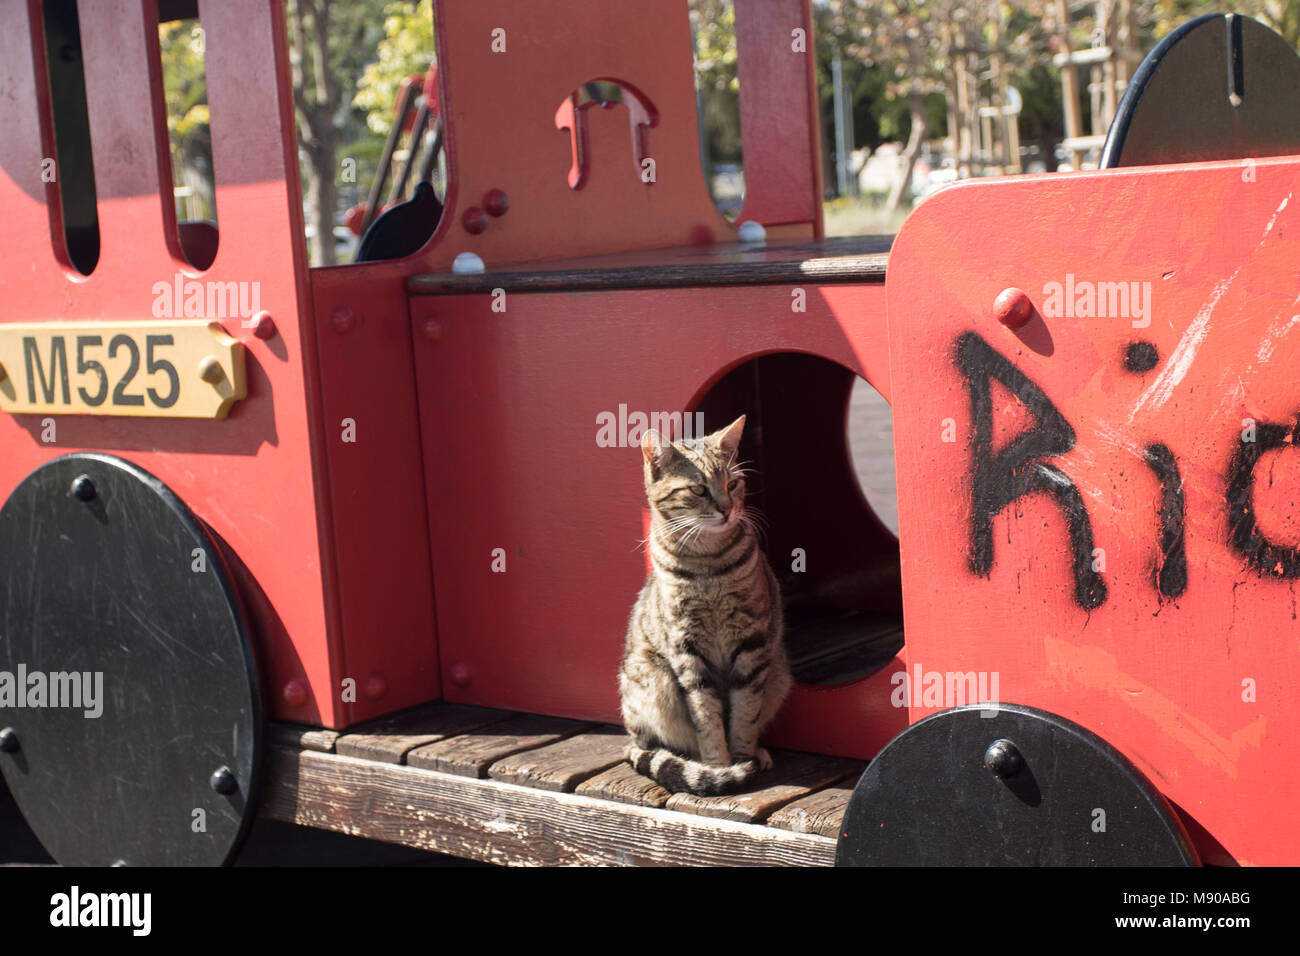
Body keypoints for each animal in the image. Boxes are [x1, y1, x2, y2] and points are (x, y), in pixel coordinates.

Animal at [618, 416, 790, 796]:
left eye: (732, 483)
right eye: (698, 490)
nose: (727, 509)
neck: (707, 565)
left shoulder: (752, 641)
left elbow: (745, 710)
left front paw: (743, 757)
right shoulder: (687, 648)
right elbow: (705, 714)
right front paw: (719, 765)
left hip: (779, 672)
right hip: (653, 679)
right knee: (661, 745)